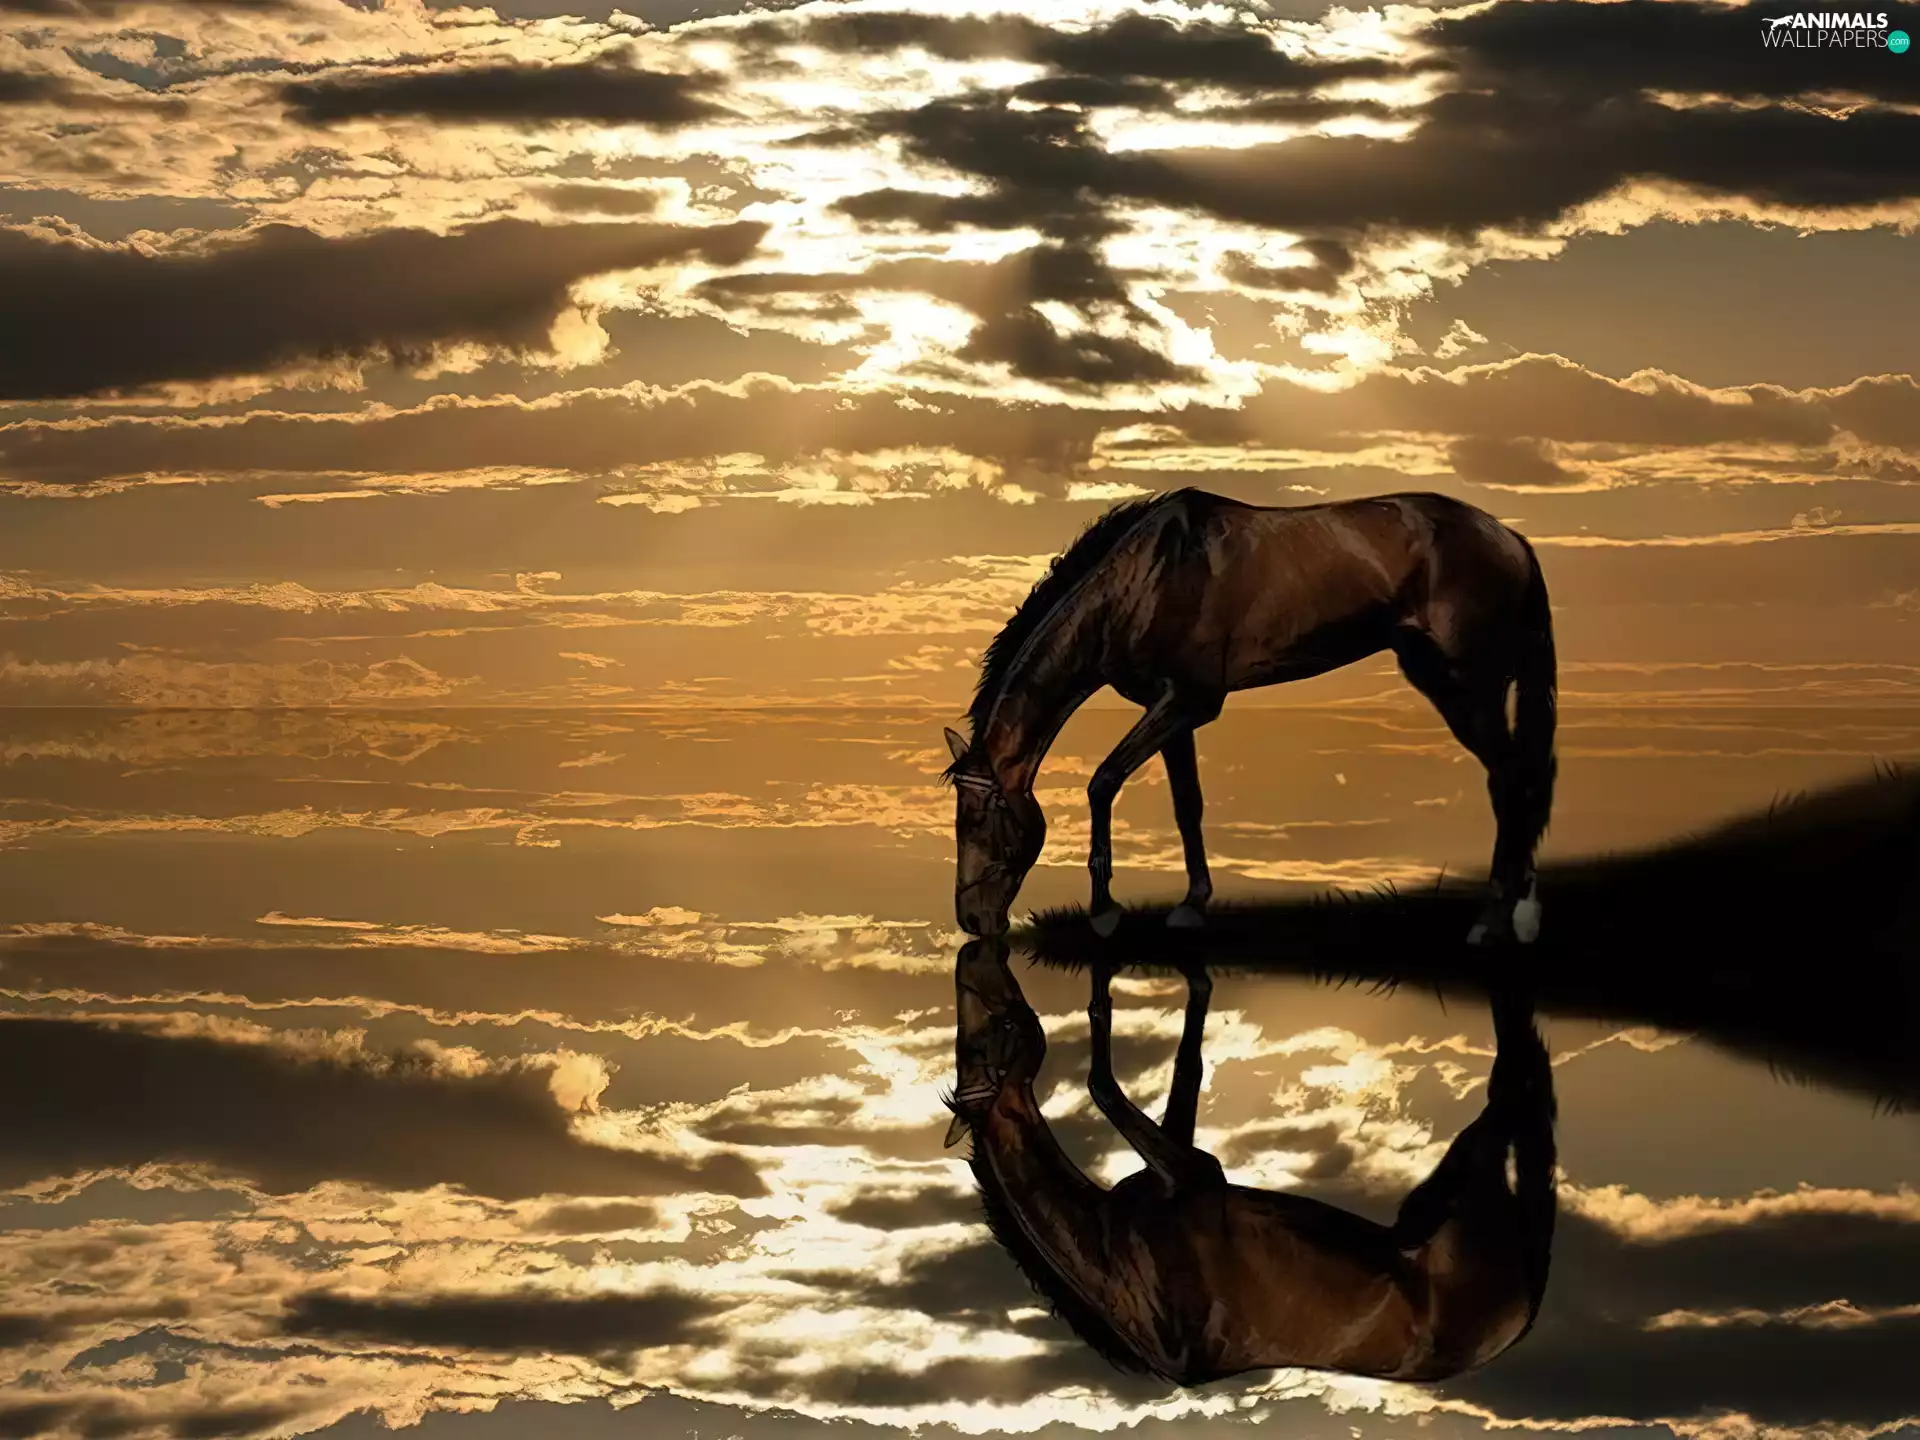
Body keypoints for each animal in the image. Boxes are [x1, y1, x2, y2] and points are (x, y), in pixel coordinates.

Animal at [941, 487, 1558, 945]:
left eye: (976, 822)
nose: (972, 921)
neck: (1148, 579)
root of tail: (1513, 540)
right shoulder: (1169, 710)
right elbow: (1186, 806)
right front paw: (1192, 906)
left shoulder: (1190, 701)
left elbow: (1104, 781)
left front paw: (1105, 913)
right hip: (1441, 679)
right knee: (1518, 776)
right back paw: (1520, 913)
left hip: (1470, 685)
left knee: (1512, 778)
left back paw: (1495, 921)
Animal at [942, 939, 1558, 1386]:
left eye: (992, 1028)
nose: (974, 951)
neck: (1111, 1260)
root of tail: (1526, 1313)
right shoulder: (1198, 1175)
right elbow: (1108, 1082)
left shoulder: (1189, 1174)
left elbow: (1179, 1067)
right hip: (1459, 1198)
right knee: (1509, 1101)